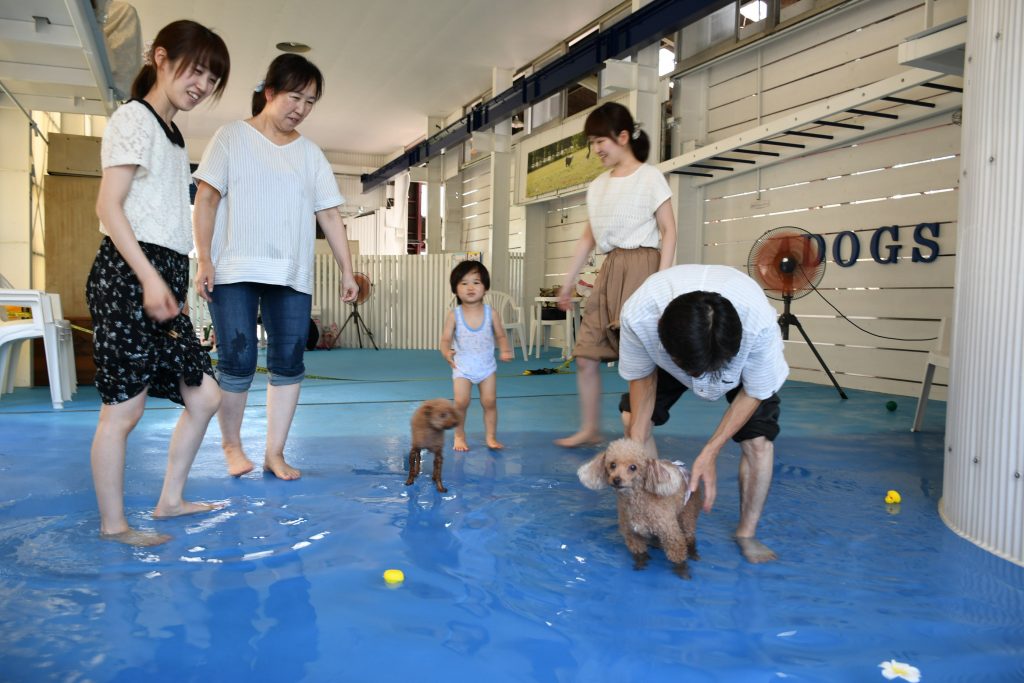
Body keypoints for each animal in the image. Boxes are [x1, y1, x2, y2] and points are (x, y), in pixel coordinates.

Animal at [581, 440, 700, 581]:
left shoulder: (671, 533)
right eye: (612, 465)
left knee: (690, 536)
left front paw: (682, 571)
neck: (637, 503)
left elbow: (678, 557)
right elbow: (640, 554)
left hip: (688, 513)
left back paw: (693, 553)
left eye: (633, 467)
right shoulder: (633, 535)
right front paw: (640, 565)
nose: (616, 479)